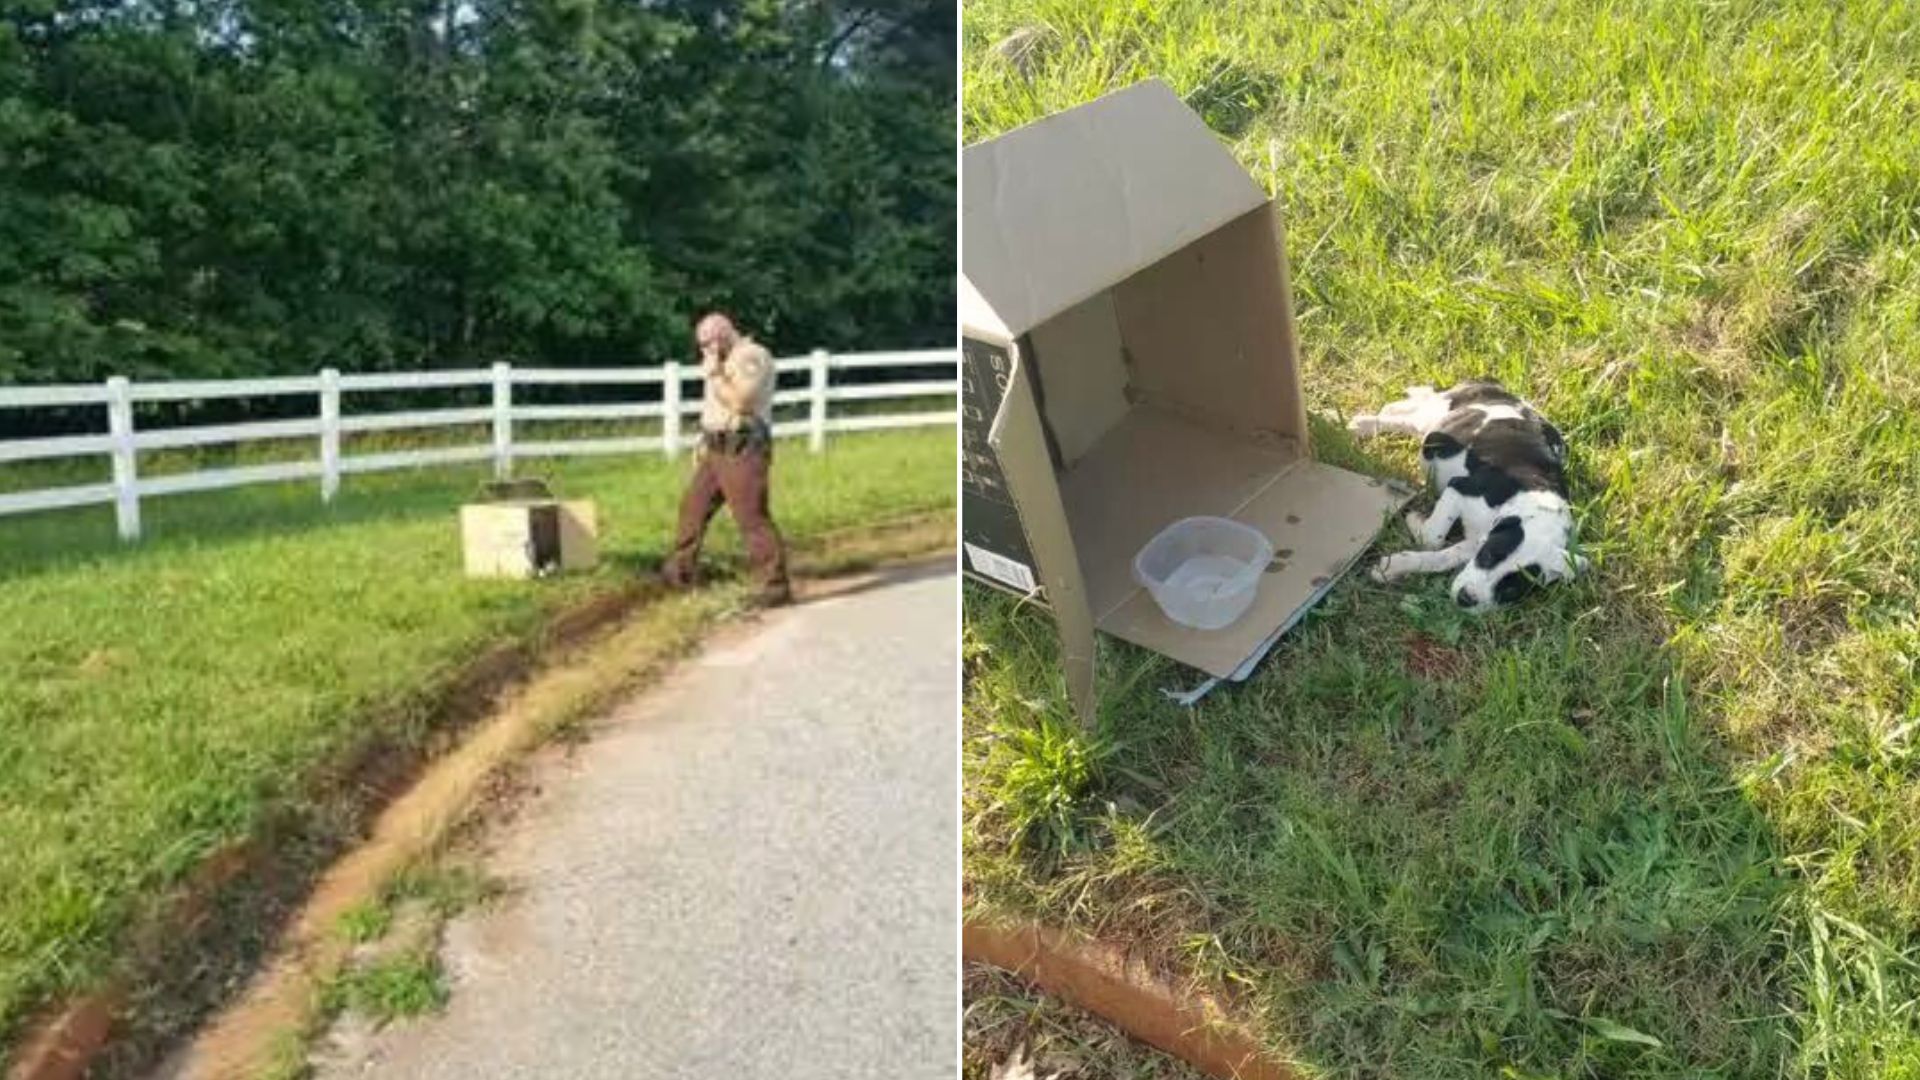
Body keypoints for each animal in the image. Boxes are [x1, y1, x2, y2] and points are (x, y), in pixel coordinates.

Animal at [1344, 380, 1582, 611]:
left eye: (1511, 590)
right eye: (1488, 556)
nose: (1465, 599)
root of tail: (1494, 385)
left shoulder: (1476, 541)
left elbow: (1442, 555)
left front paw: (1394, 567)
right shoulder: (1460, 487)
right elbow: (1432, 539)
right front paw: (1416, 522)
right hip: (1436, 418)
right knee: (1404, 416)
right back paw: (1363, 423)